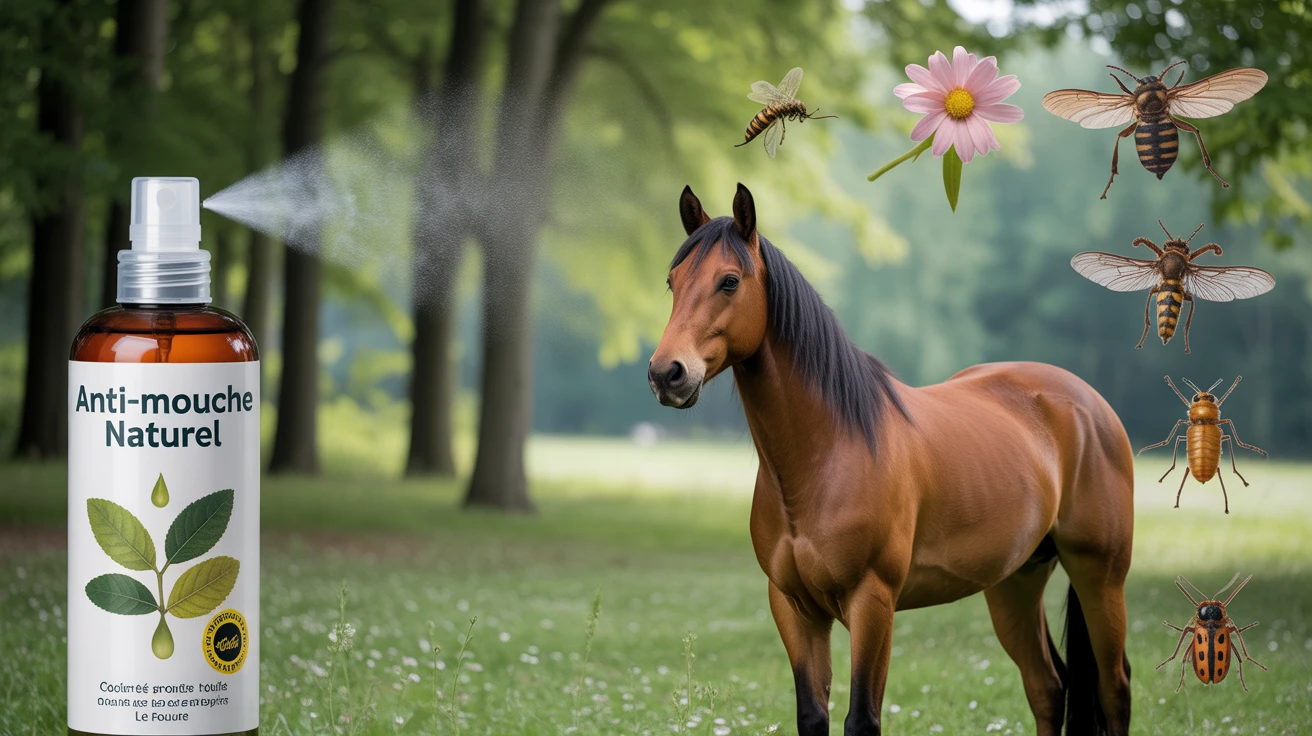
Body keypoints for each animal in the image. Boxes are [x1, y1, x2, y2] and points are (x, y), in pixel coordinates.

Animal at [648, 184, 1135, 735]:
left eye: (729, 281)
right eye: (672, 282)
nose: (667, 373)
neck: (825, 456)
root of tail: (1088, 403)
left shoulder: (873, 603)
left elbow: (862, 718)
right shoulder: (794, 608)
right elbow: (812, 715)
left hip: (1100, 577)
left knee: (1114, 689)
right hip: (1015, 582)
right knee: (1048, 687)